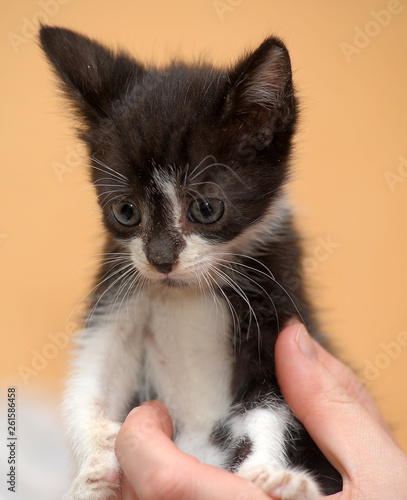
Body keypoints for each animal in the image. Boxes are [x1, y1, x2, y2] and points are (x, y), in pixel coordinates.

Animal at [39, 25, 342, 498]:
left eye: (206, 208)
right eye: (125, 211)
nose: (161, 259)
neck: (185, 290)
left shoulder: (278, 298)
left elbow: (269, 404)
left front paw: (272, 475)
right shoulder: (119, 288)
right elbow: (92, 373)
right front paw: (93, 469)